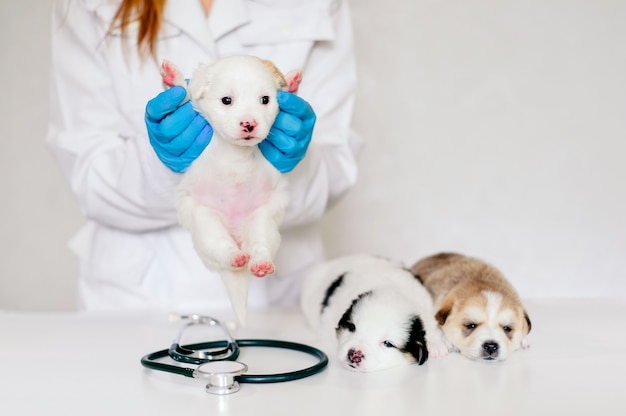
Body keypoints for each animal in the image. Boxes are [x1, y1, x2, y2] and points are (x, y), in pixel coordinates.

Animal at [161, 55, 302, 324]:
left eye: (265, 100)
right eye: (227, 100)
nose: (249, 123)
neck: (237, 152)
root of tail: (238, 237)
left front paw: (292, 82)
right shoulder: (194, 106)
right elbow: (183, 94)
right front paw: (172, 76)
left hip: (262, 222)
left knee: (261, 247)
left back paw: (261, 263)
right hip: (207, 225)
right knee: (222, 249)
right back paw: (234, 256)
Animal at [300, 255, 446, 372]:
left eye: (387, 343)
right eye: (352, 327)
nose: (354, 354)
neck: (391, 288)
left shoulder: (426, 304)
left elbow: (430, 323)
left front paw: (436, 345)